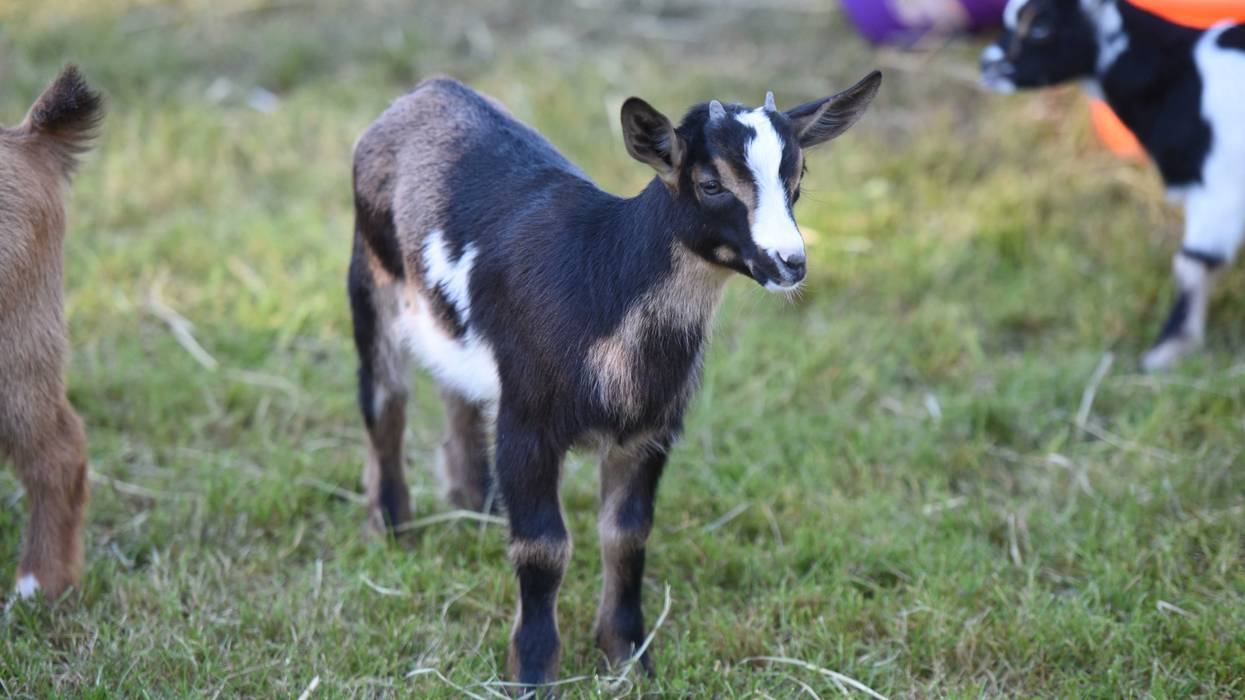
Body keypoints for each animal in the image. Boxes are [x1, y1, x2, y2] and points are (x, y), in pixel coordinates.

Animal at [348, 73, 881, 687]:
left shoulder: (649, 431)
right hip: (372, 274)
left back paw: (476, 505)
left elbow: (627, 536)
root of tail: (425, 91)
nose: (791, 262)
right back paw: (392, 528)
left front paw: (628, 657)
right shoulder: (527, 420)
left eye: (798, 178)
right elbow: (543, 546)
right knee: (385, 400)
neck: (603, 280)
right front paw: (533, 672)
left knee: (456, 391)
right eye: (710, 184)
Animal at [981, 0, 1245, 370]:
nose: (987, 64)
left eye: (1042, 26)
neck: (1181, 73)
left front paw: (1167, 351)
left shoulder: (1219, 189)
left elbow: (1192, 263)